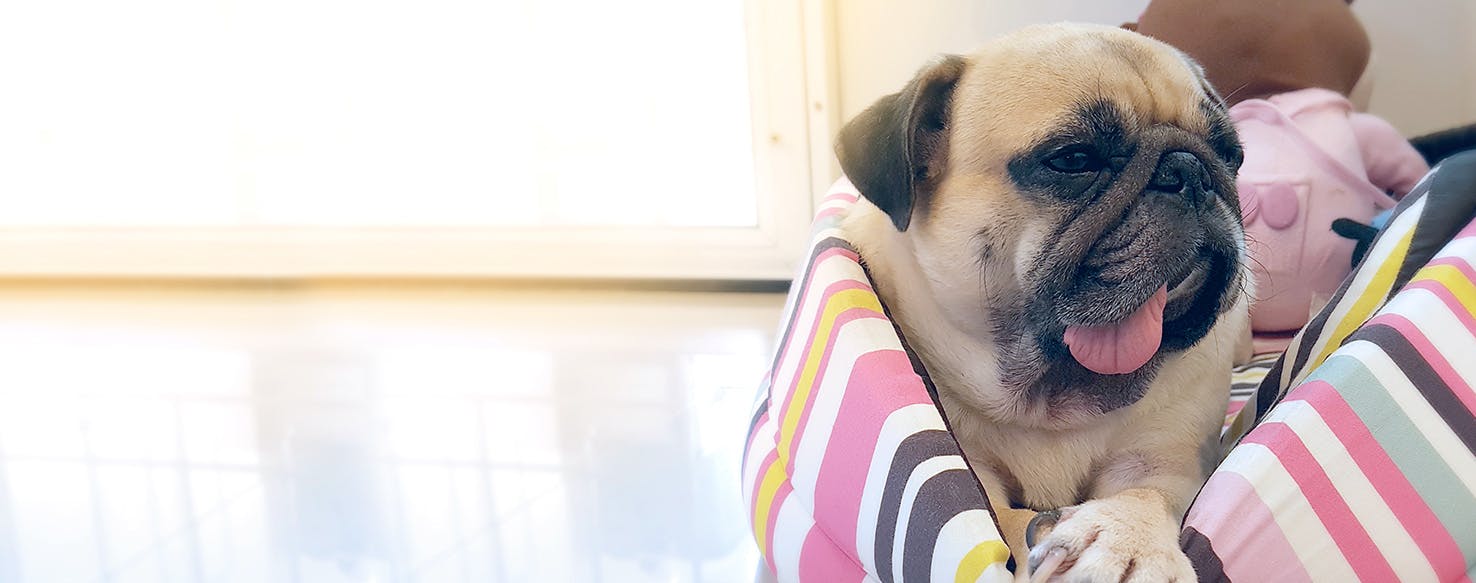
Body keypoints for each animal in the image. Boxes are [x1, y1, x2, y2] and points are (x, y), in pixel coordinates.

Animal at [838, 21, 1251, 578]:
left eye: (1231, 155)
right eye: (1074, 159)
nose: (1192, 172)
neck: (1053, 395)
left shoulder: (1164, 460)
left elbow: (1145, 496)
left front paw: (1126, 540)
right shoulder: (975, 474)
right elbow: (1005, 520)